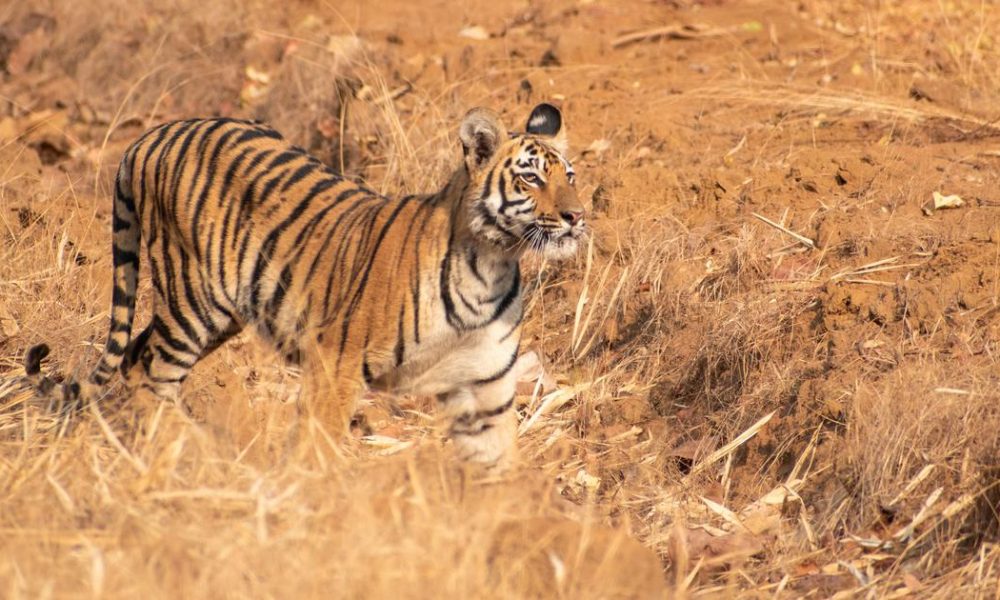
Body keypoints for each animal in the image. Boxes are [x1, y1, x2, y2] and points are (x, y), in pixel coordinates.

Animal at [25, 102, 584, 468]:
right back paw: (186, 453)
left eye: (571, 176)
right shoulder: (336, 362)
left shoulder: (487, 384)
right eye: (531, 178)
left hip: (218, 313)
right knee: (150, 371)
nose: (578, 216)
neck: (493, 262)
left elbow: (497, 462)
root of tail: (153, 135)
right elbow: (319, 443)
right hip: (194, 298)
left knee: (137, 355)